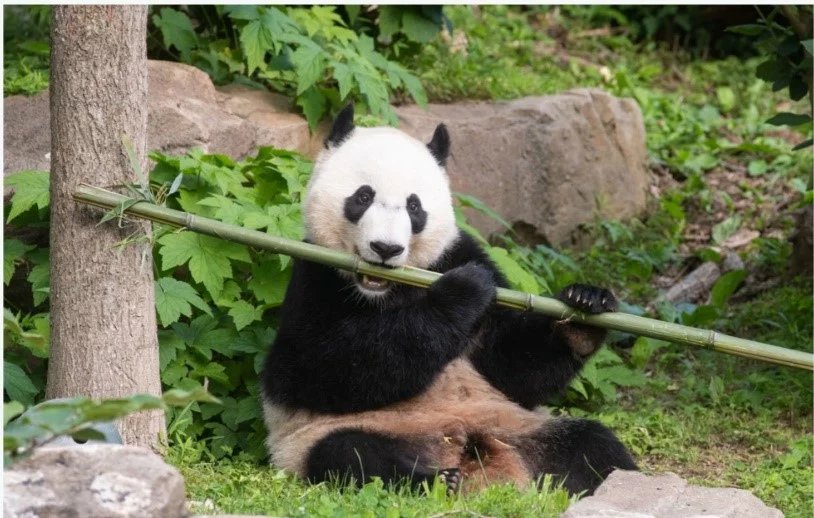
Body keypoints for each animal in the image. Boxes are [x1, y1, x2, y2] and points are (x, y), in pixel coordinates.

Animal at [260, 103, 636, 495]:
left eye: (414, 207)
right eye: (362, 197)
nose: (385, 248)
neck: (389, 290)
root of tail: (475, 460)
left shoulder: (458, 253)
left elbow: (512, 367)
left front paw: (585, 306)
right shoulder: (314, 277)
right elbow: (317, 370)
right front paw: (464, 290)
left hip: (519, 426)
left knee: (591, 445)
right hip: (327, 438)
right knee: (350, 455)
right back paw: (434, 479)